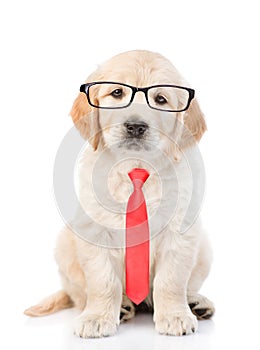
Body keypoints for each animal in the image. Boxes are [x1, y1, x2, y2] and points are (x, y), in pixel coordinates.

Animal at [24, 49, 215, 336]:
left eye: (161, 99)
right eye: (117, 93)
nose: (135, 126)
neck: (135, 167)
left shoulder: (180, 233)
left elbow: (171, 280)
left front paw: (175, 315)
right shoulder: (95, 232)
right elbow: (103, 280)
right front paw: (97, 317)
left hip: (204, 247)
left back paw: (196, 303)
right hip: (65, 244)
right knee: (78, 295)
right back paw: (122, 306)